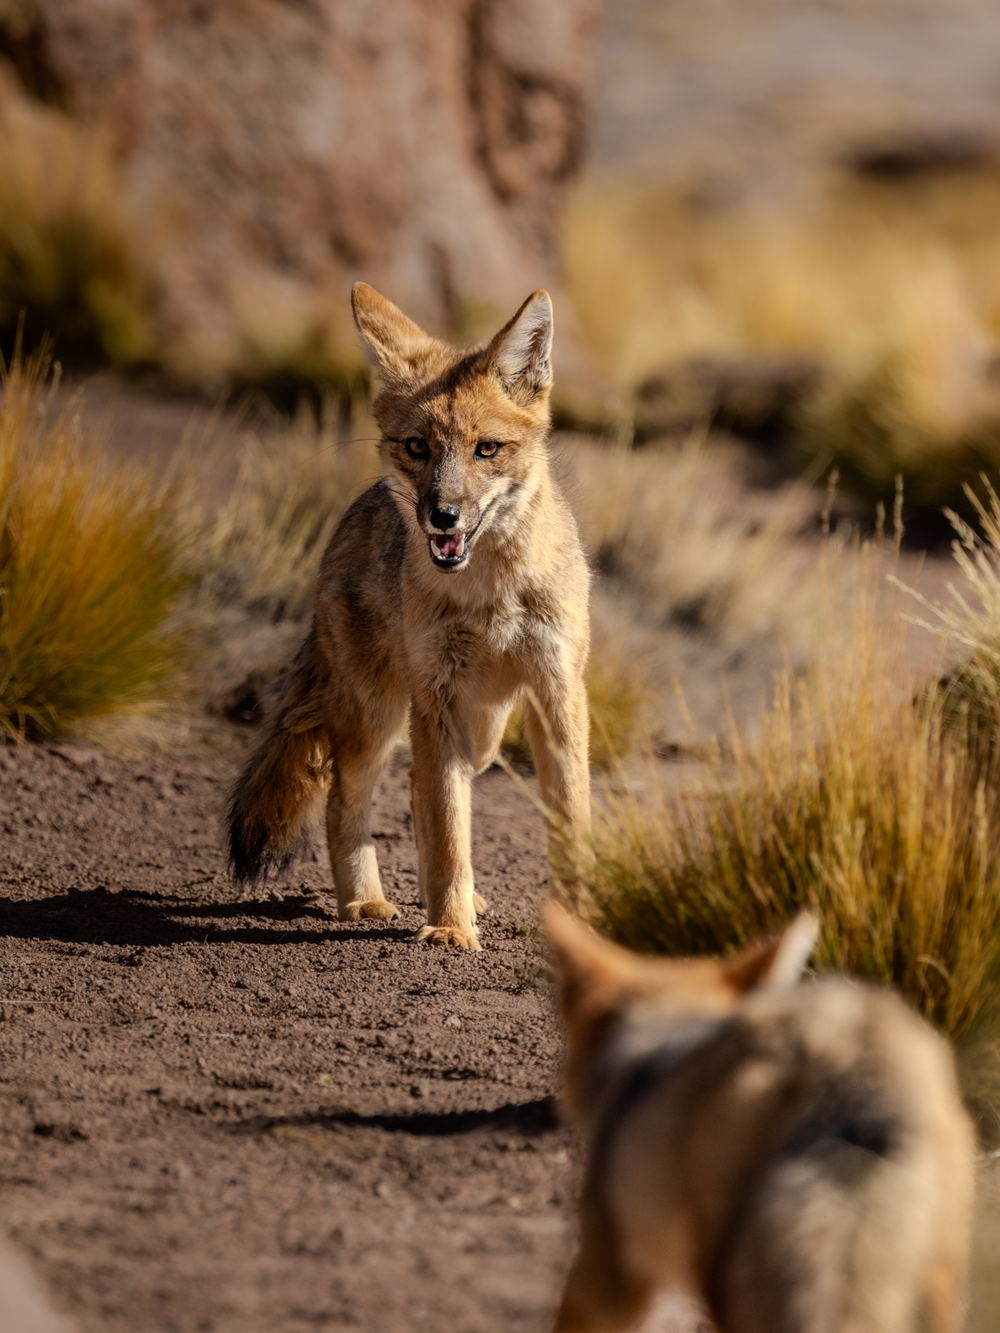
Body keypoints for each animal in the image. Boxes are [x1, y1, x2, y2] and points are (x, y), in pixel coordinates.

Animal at [227, 283, 590, 950]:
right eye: (418, 447)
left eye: (486, 449)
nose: (442, 515)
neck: (491, 595)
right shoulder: (437, 695)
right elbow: (448, 830)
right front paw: (449, 931)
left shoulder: (557, 692)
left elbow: (569, 820)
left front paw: (584, 920)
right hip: (381, 717)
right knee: (346, 804)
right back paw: (367, 902)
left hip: (480, 732)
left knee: (422, 794)